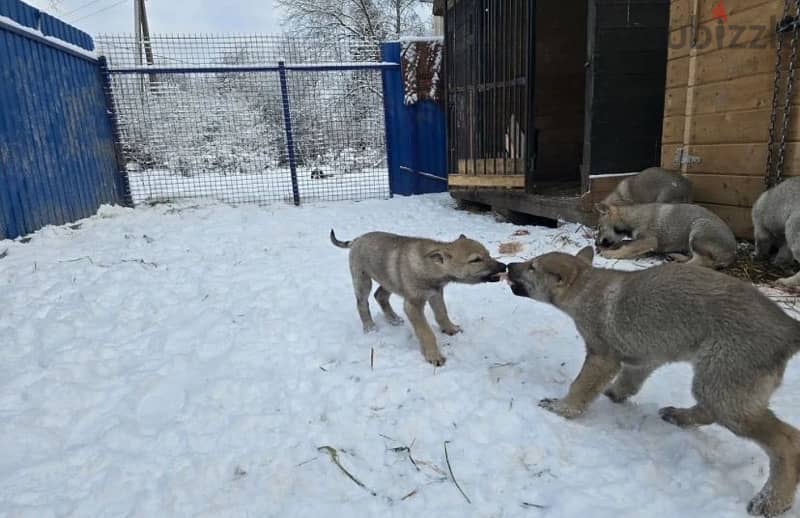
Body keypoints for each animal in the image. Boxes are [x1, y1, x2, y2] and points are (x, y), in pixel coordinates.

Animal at [332, 230, 506, 368]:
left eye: (488, 254)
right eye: (476, 260)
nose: (504, 266)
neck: (429, 265)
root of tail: (357, 238)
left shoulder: (436, 294)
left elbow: (442, 314)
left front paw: (450, 329)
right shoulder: (413, 305)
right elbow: (426, 332)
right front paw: (434, 356)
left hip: (389, 280)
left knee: (379, 295)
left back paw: (393, 319)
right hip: (362, 280)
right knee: (362, 303)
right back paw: (369, 327)